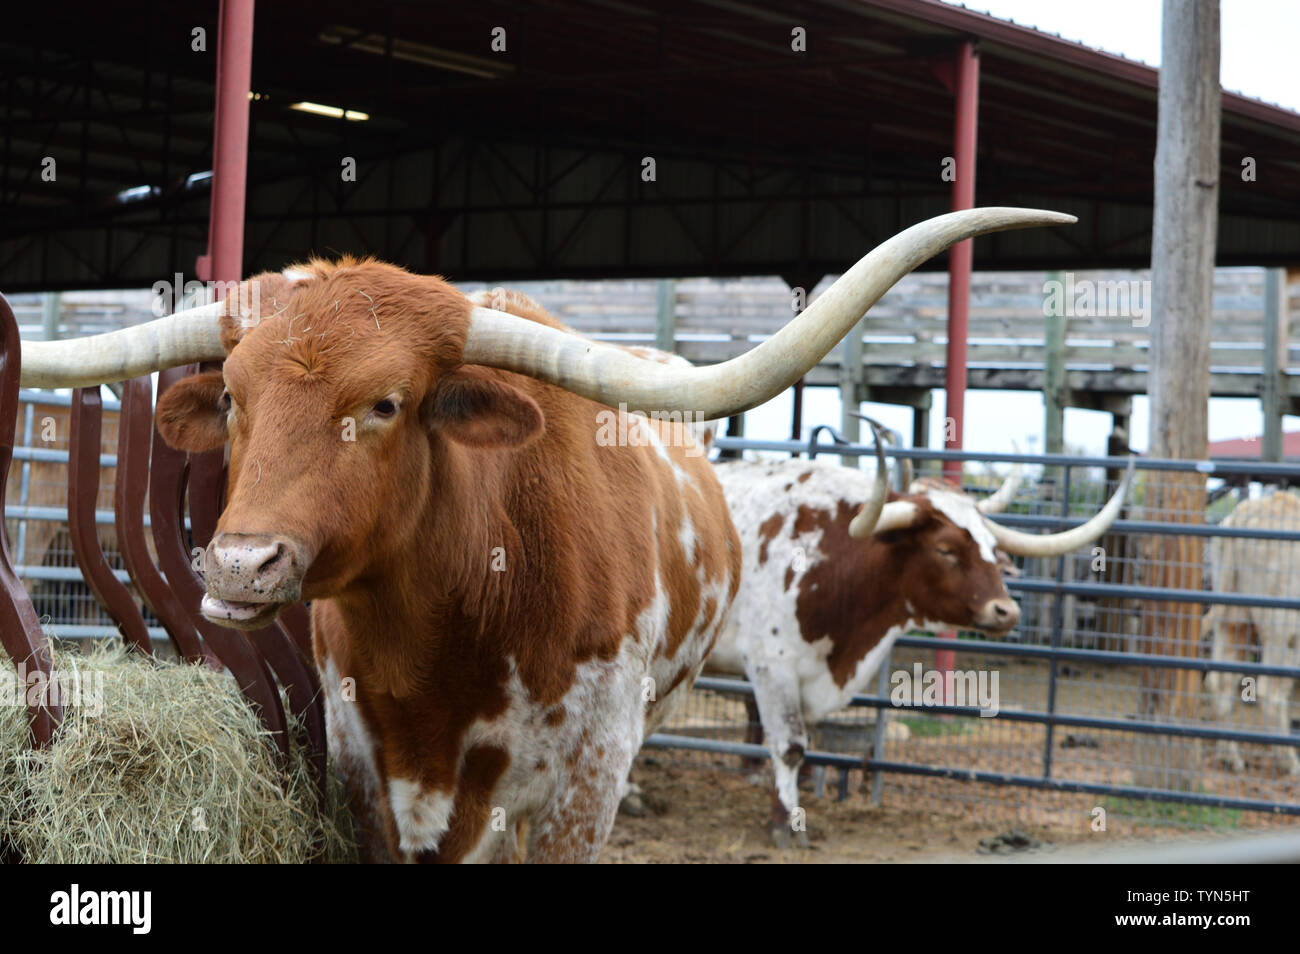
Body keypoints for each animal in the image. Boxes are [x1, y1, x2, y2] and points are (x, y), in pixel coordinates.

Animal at [17, 207, 1076, 862]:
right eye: (233, 398)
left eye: (387, 403)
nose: (241, 564)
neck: (456, 626)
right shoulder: (365, 768)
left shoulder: (583, 784)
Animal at [707, 435, 1132, 846]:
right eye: (945, 549)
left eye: (994, 552)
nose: (1006, 611)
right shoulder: (772, 665)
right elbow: (790, 746)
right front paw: (786, 825)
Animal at [1205, 491, 1300, 777]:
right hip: (1282, 631)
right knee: (1271, 692)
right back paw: (1290, 763)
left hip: (1234, 619)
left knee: (1220, 681)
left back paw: (1231, 757)